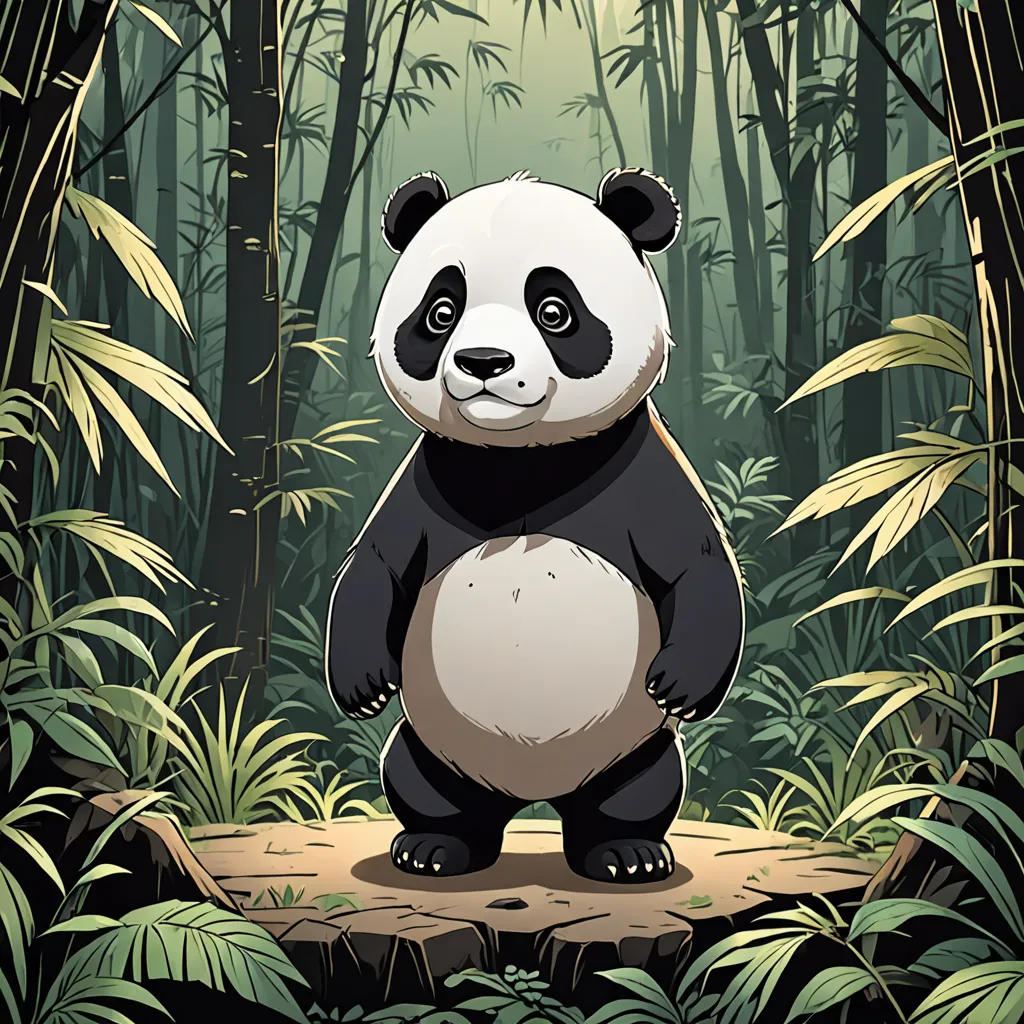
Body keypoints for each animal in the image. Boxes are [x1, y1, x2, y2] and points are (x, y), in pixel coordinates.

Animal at [326, 168, 744, 883]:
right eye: (440, 313)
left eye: (554, 310)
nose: (484, 361)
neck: (522, 462)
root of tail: (533, 797)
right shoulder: (433, 477)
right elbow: (376, 564)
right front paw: (360, 684)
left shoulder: (643, 475)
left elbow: (699, 565)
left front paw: (683, 685)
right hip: (434, 741)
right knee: (420, 780)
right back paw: (436, 849)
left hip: (634, 746)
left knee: (641, 788)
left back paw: (625, 855)